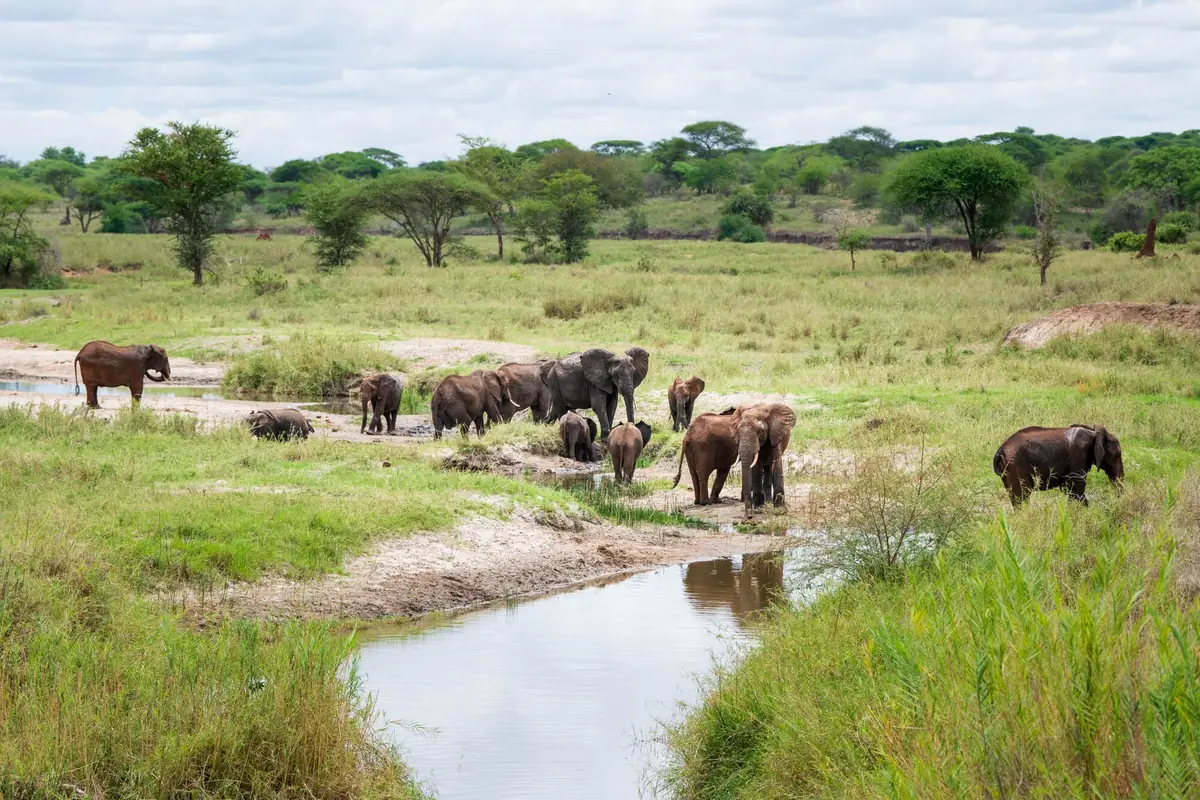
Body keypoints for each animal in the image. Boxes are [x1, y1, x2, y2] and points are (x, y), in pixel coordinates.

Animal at [993, 424, 1125, 506]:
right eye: (1117, 455)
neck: (1094, 433)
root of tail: (999, 451)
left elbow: (1068, 488)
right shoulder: (1079, 455)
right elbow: (1076, 488)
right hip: (1015, 466)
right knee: (1021, 497)